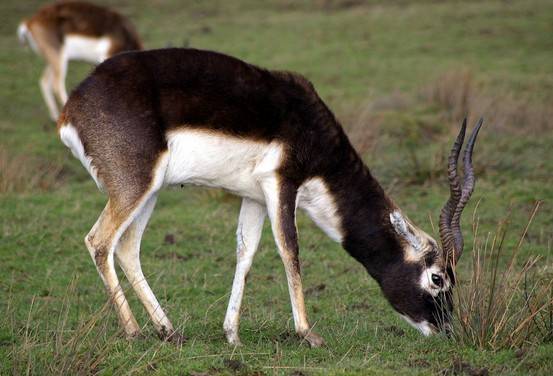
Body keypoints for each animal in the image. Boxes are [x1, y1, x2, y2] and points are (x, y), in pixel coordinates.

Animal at [57, 48, 478, 348]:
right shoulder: (281, 183)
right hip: (136, 186)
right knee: (99, 241)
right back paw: (134, 332)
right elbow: (289, 250)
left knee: (128, 248)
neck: (311, 129)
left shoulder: (255, 197)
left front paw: (231, 334)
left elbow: (246, 253)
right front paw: (308, 333)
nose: (445, 329)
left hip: (151, 190)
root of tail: (71, 108)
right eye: (437, 278)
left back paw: (169, 331)